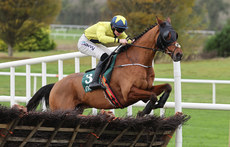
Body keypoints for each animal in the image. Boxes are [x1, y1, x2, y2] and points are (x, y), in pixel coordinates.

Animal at [26, 17, 181, 116]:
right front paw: (144, 111)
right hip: (63, 109)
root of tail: (55, 85)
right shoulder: (128, 93)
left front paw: (160, 103)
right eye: (167, 36)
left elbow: (167, 87)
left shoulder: (146, 88)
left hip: (76, 110)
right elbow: (153, 96)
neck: (136, 61)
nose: (179, 54)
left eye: (176, 35)